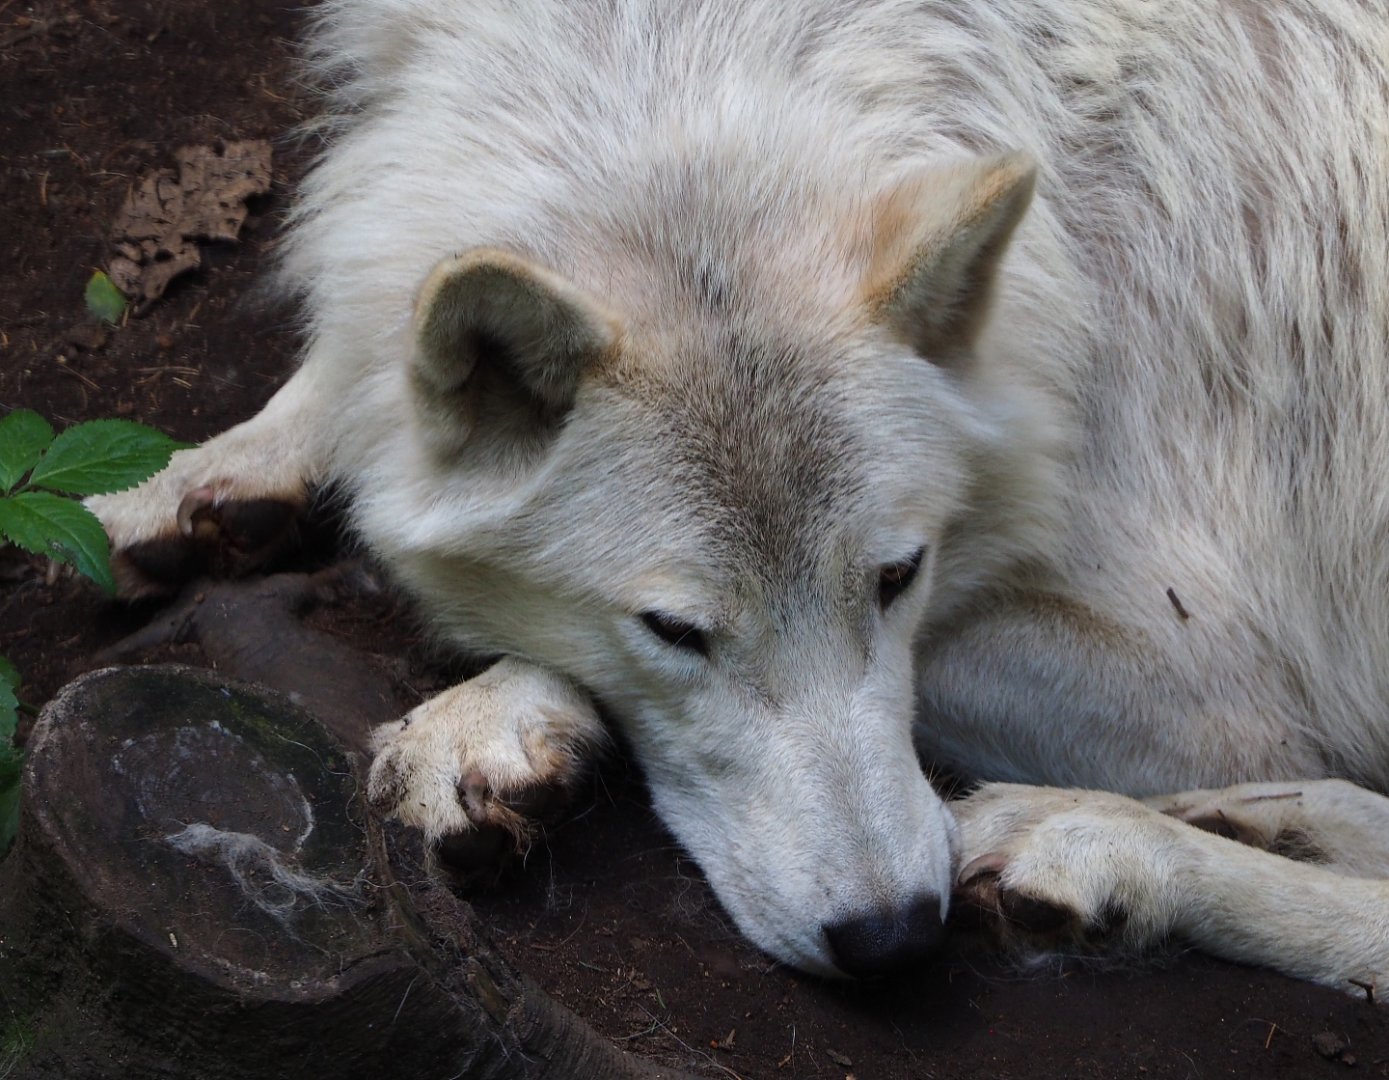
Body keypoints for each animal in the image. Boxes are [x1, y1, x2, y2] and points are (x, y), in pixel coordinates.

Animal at [89, 0, 1389, 989]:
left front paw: (490, 711)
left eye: (898, 577)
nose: (891, 938)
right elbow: (355, 361)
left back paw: (1108, 850)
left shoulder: (1217, 686)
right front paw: (189, 481)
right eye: (676, 629)